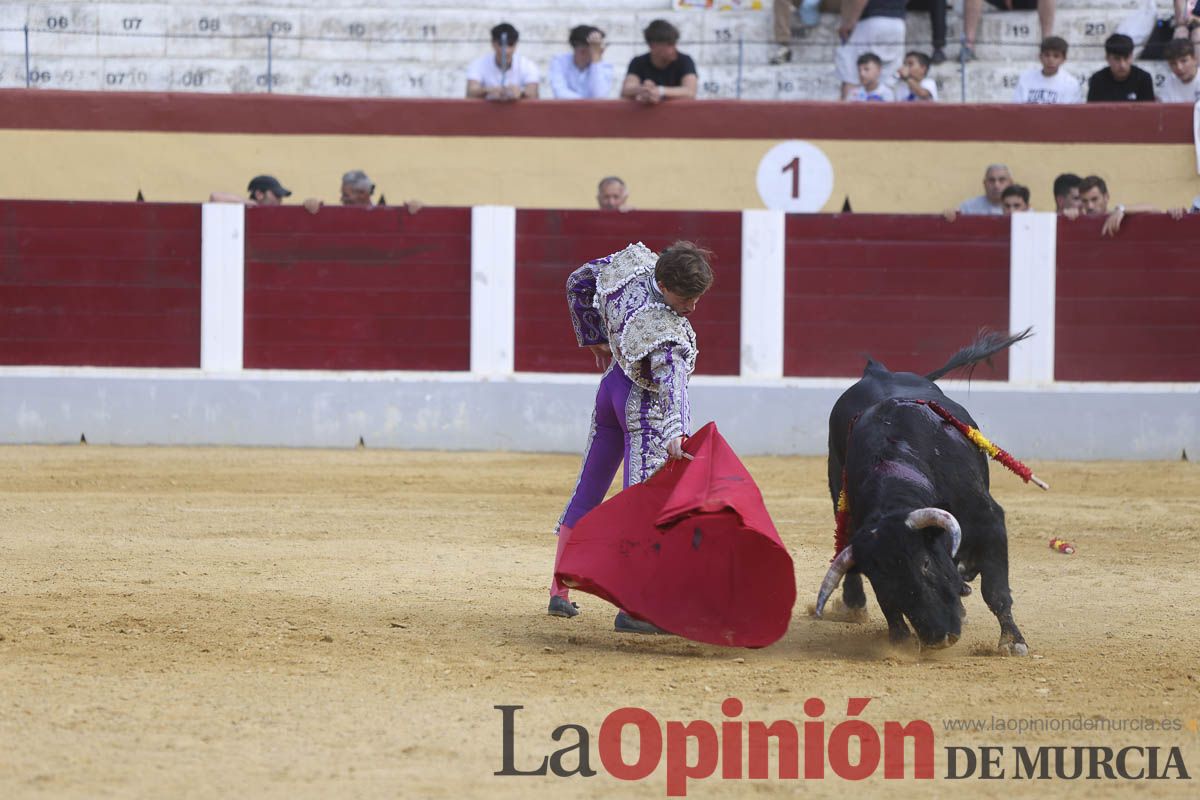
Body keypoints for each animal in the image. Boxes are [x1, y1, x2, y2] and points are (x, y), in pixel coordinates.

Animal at [820, 328, 1036, 652]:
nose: (939, 637)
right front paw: (900, 640)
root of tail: (878, 371)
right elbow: (890, 608)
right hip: (836, 484)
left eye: (924, 564)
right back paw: (854, 604)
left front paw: (1012, 642)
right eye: (881, 581)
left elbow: (996, 592)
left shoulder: (990, 520)